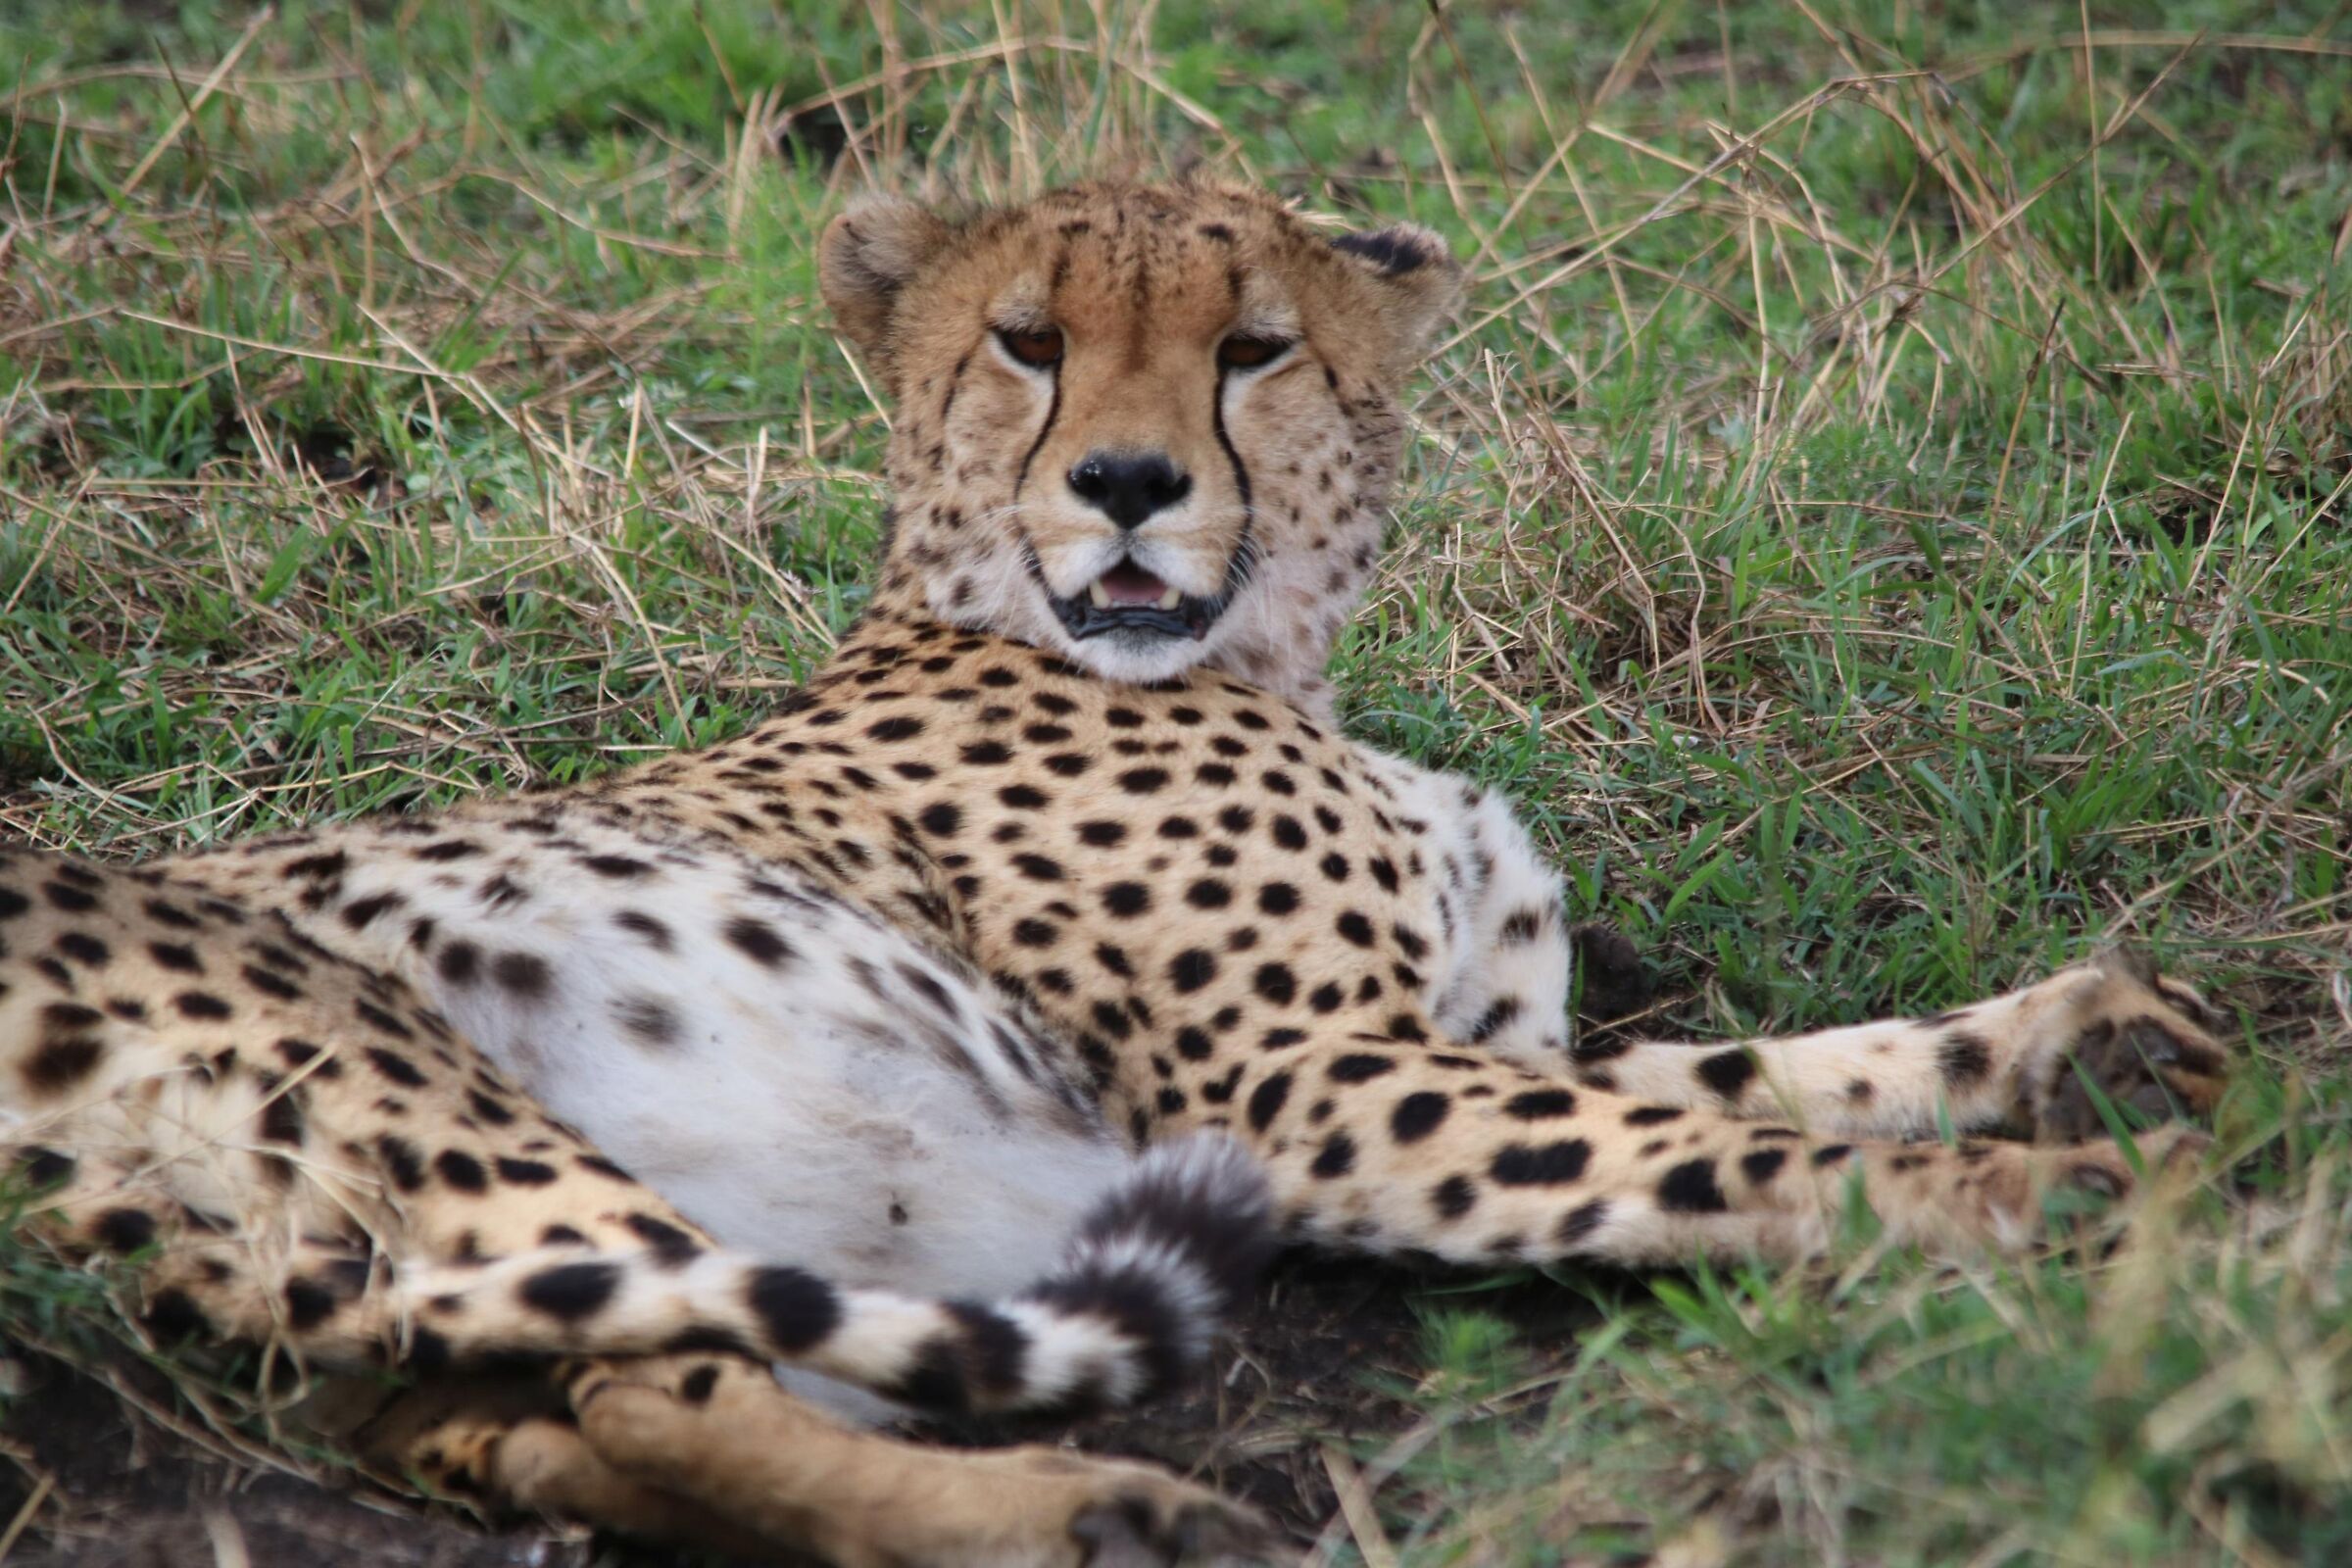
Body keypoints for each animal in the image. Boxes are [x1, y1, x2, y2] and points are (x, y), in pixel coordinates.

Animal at [0, 176, 2233, 1567]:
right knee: (670, 1375)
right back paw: (1087, 1507)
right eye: (1025, 342)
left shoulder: (1447, 1038)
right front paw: (2031, 1200)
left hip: (400, 1303)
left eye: (1252, 348)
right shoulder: (1309, 1088)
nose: (1133, 484)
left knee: (561, 1417)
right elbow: (1702, 1144)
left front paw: (2083, 1037)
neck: (1263, 659)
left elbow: (1751, 1075)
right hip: (425, 1098)